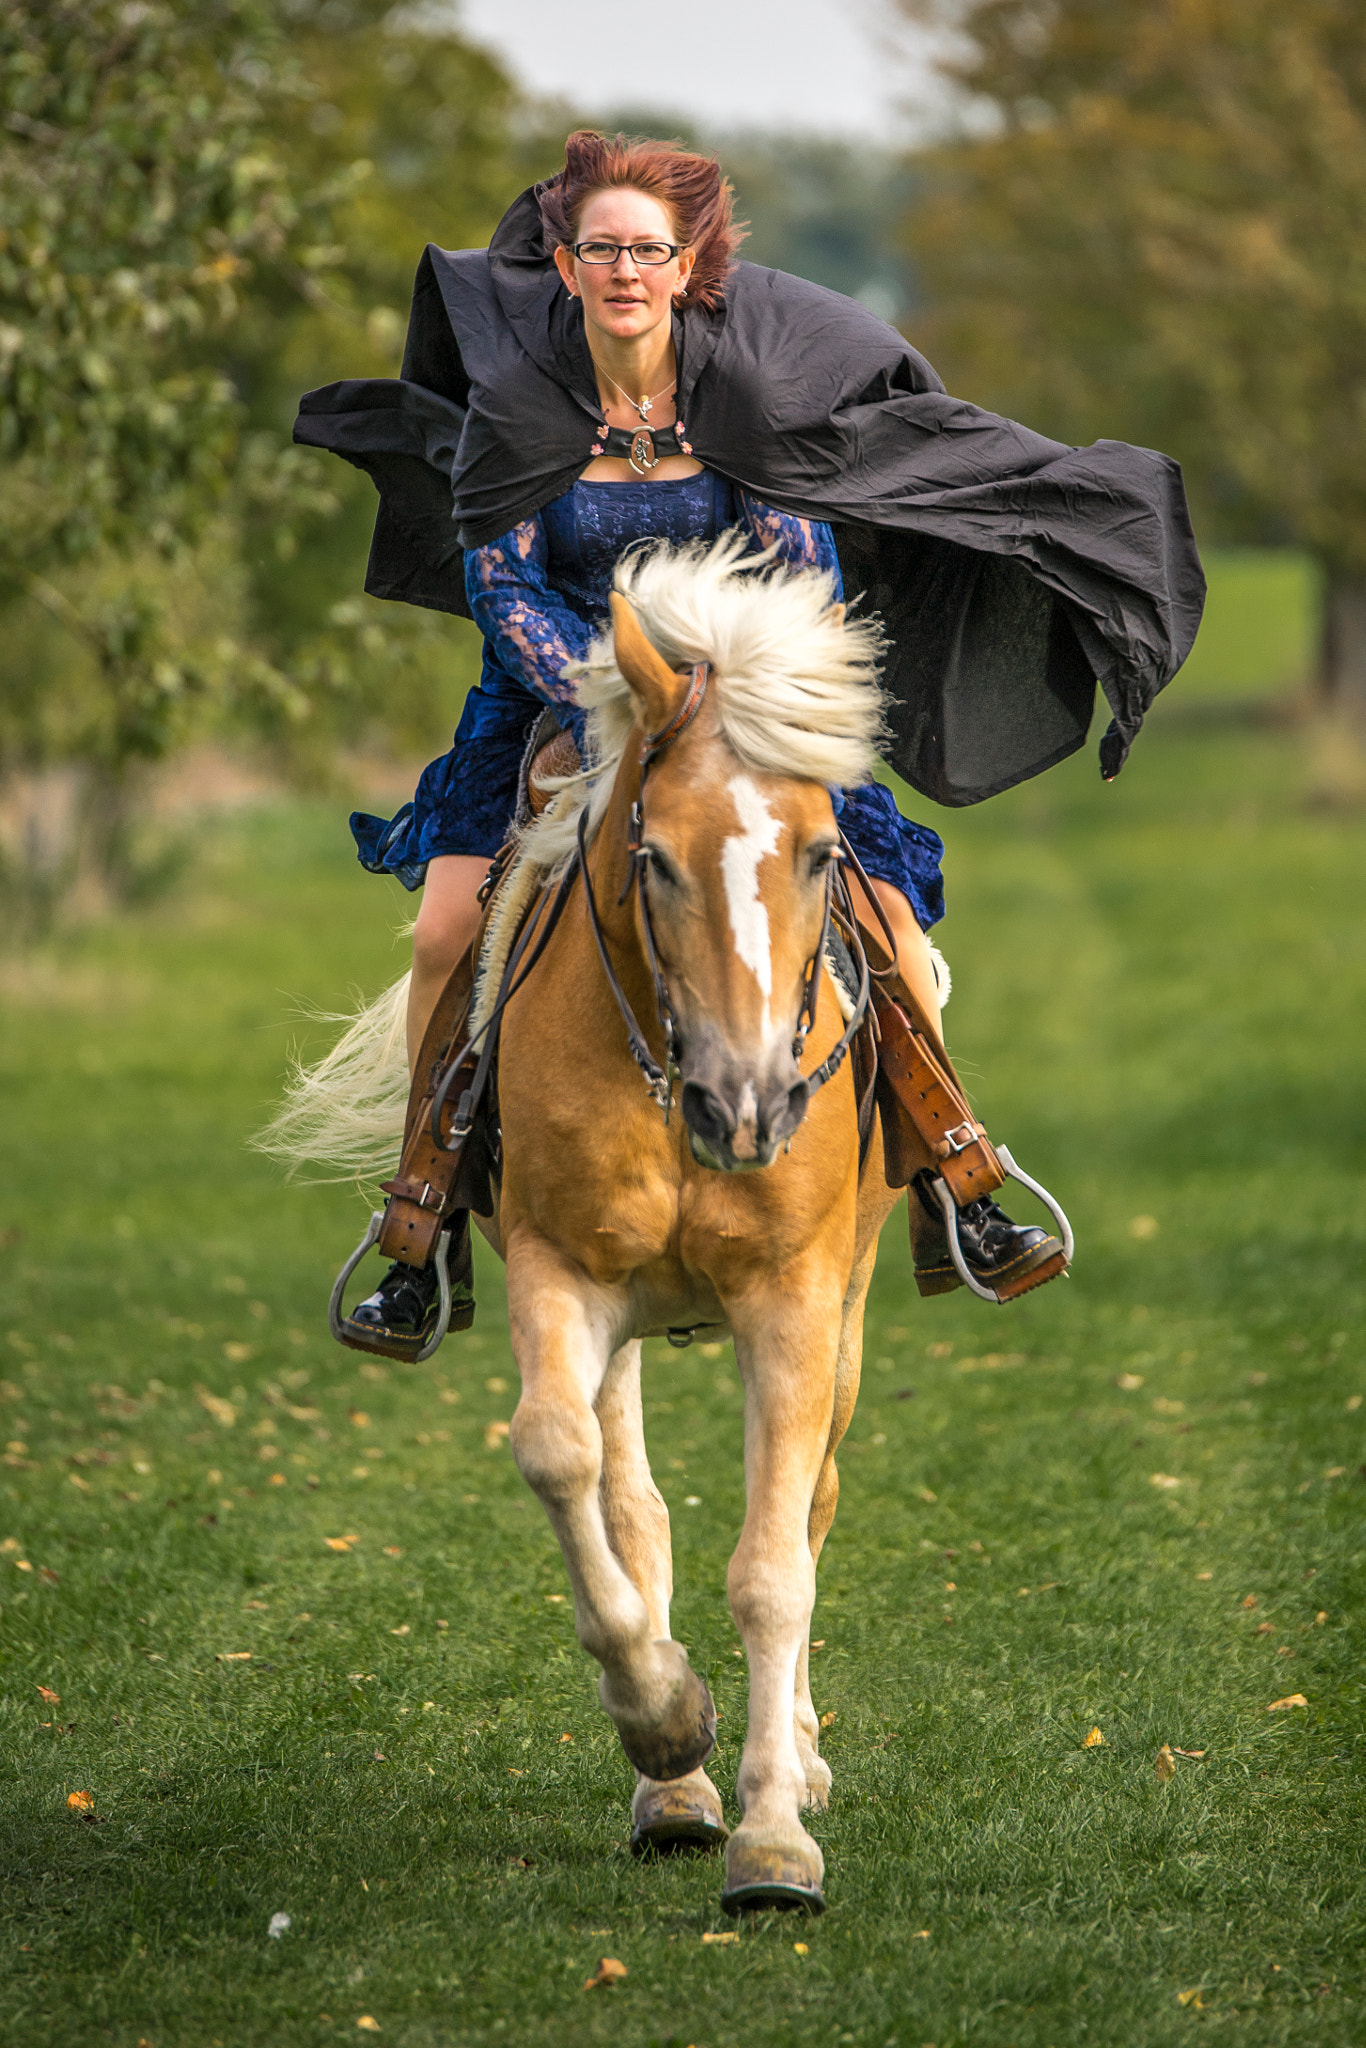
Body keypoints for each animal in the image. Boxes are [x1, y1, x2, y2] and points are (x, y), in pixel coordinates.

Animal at [270, 536, 917, 1908]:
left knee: (814, 1499)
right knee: (634, 1501)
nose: (748, 1102)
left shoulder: (792, 1299)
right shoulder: (563, 1278)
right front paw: (668, 1726)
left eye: (821, 852)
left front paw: (776, 1836)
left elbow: (773, 1561)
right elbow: (562, 1462)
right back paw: (673, 1792)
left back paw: (800, 1755)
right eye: (653, 855)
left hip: (847, 1302)